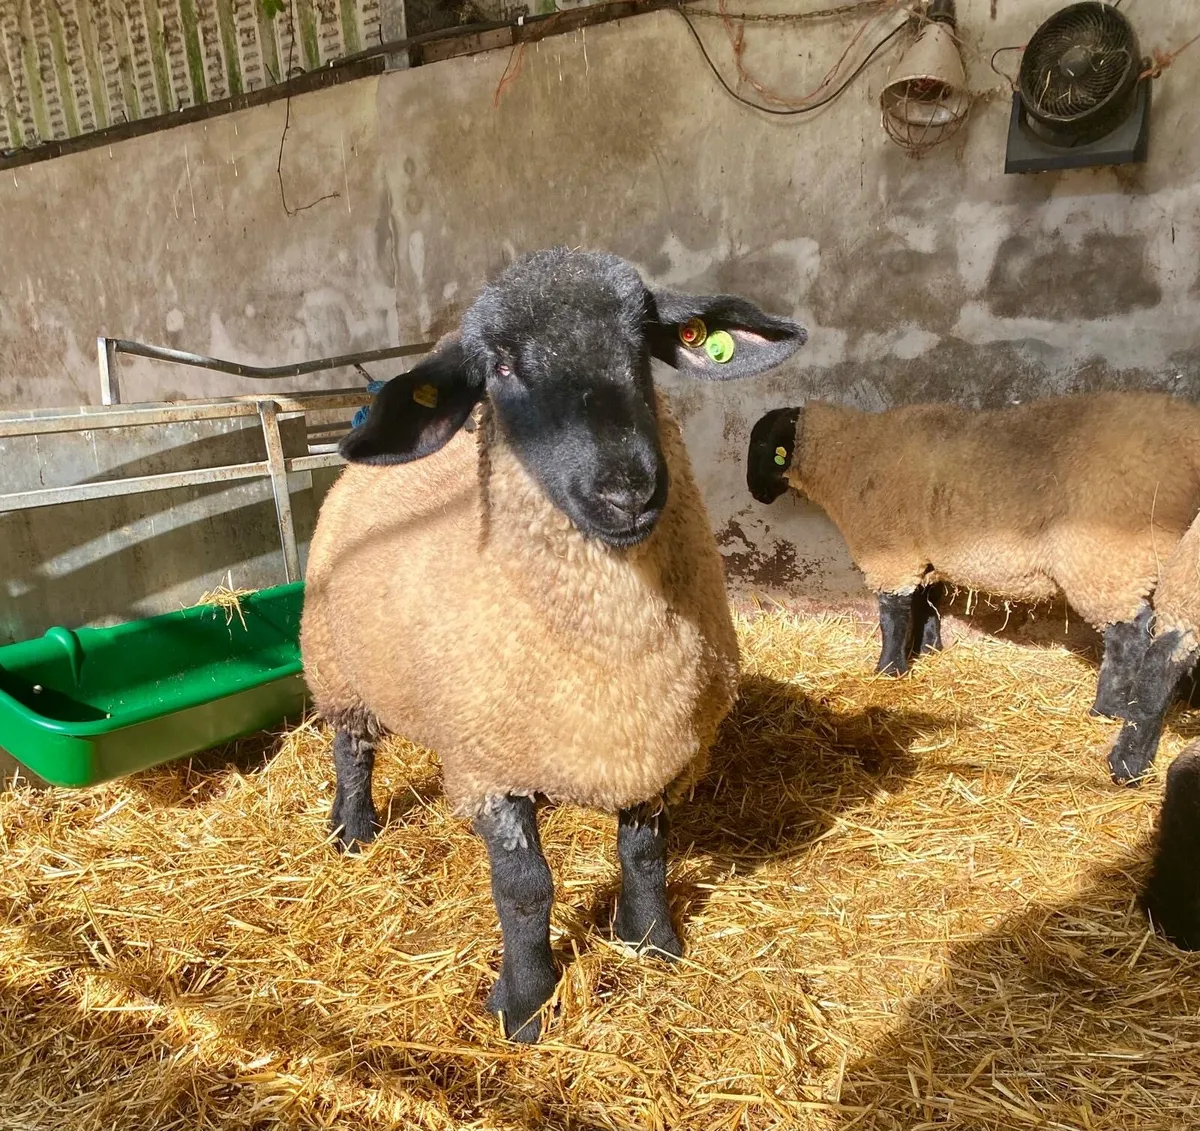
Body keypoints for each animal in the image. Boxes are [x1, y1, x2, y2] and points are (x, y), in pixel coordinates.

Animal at [301, 247, 807, 1041]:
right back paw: (353, 830)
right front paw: (525, 1002)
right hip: (337, 668)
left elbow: (645, 853)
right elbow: (524, 888)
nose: (627, 491)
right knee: (352, 750)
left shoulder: (655, 744)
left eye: (642, 341)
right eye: (501, 366)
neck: (611, 641)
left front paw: (652, 941)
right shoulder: (489, 763)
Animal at [745, 391, 1200, 786]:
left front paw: (888, 671)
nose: (754, 493)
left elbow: (893, 615)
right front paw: (928, 650)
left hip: (1105, 557)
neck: (851, 455)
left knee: (1131, 636)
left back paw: (1109, 711)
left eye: (763, 446)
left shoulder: (890, 554)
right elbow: (926, 604)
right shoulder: (925, 553)